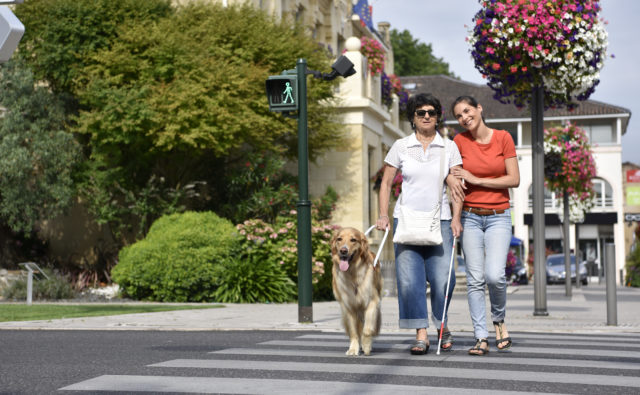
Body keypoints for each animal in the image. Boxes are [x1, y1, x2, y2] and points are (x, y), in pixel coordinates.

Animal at [332, 227, 382, 358]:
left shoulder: (372, 302)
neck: (352, 272)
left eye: (353, 239)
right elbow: (354, 332)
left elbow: (367, 329)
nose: (343, 250)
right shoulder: (348, 307)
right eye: (339, 239)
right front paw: (353, 349)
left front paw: (366, 346)